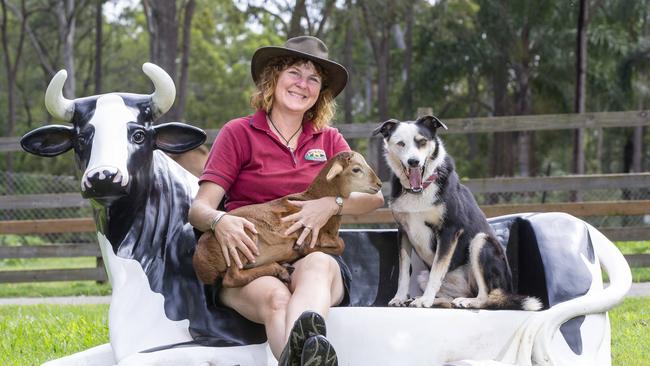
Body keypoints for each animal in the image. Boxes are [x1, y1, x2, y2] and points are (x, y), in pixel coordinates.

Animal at [191, 150, 380, 288]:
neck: (312, 197)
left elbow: (340, 243)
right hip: (241, 240)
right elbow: (341, 244)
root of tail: (201, 261)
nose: (379, 184)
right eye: (356, 169)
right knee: (232, 278)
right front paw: (304, 249)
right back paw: (279, 269)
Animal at [372, 116, 540, 310]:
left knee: (485, 296)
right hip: (425, 276)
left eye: (422, 142)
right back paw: (432, 299)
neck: (420, 189)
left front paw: (425, 300)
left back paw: (465, 301)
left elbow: (437, 269)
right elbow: (404, 271)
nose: (413, 162)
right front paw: (400, 297)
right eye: (400, 143)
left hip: (480, 242)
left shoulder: (449, 230)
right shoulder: (403, 231)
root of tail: (508, 289)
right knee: (449, 299)